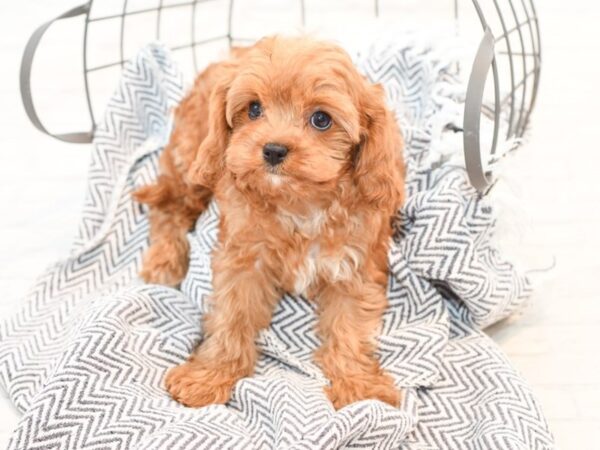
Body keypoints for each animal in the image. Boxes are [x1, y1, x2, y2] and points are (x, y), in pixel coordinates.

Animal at [135, 36, 408, 408]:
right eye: (253, 109)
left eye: (321, 119)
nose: (274, 150)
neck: (299, 205)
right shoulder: (244, 260)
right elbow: (232, 317)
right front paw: (209, 376)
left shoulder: (355, 266)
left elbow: (350, 327)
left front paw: (358, 385)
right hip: (193, 165)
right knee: (169, 208)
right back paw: (163, 261)